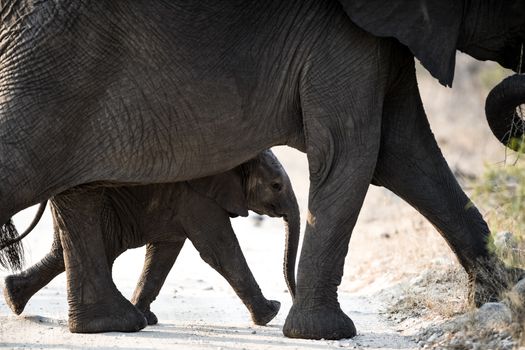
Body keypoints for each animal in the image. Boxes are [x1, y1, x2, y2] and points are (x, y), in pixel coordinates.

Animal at [0, 0, 520, 340]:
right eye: (271, 185)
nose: (284, 291)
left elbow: (405, 154)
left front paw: (506, 290)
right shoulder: (340, 37)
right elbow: (353, 154)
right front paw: (313, 329)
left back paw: (99, 321)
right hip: (57, 58)